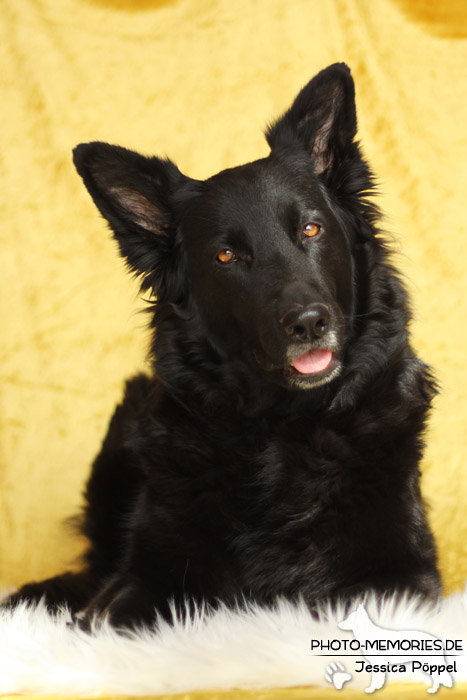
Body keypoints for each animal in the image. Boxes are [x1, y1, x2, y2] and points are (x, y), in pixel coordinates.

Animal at [6, 64, 442, 628]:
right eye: (227, 256)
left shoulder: (404, 577)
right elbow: (112, 608)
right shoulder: (142, 582)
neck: (279, 428)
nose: (309, 323)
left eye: (311, 229)